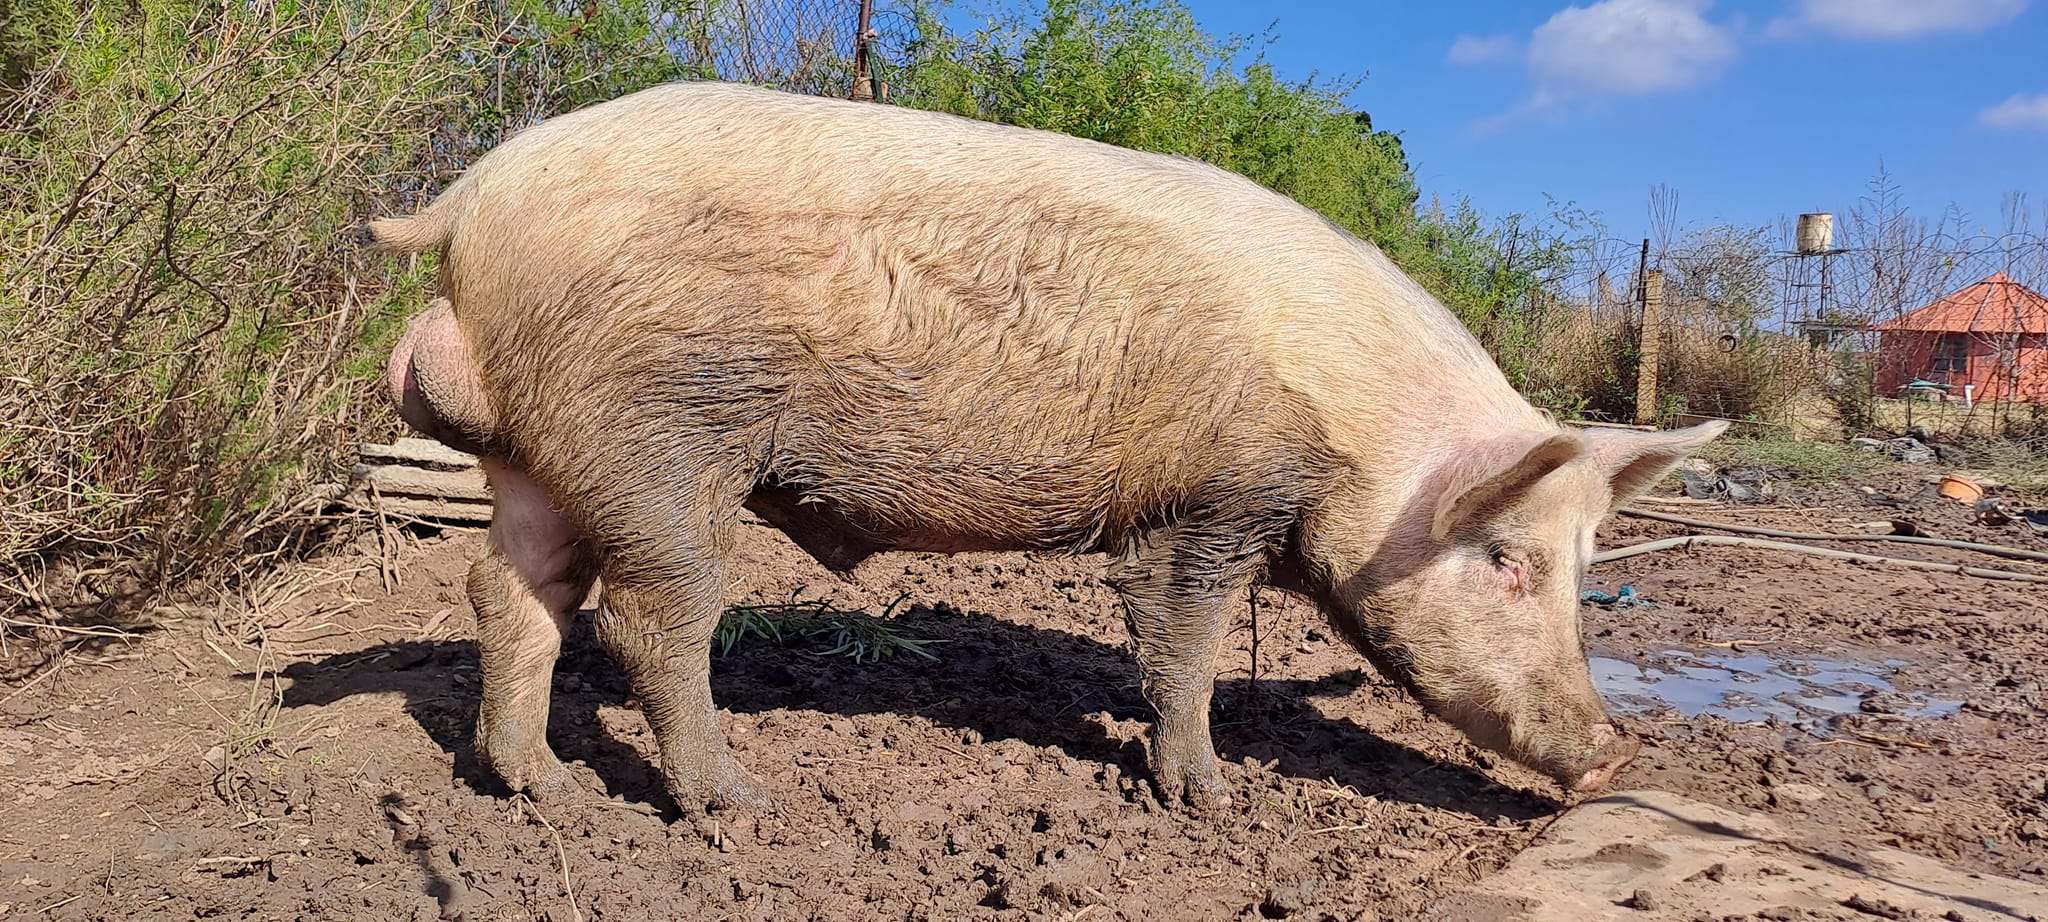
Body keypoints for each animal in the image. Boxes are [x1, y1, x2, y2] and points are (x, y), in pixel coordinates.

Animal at [370, 80, 1727, 816]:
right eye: (1506, 559)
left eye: (1586, 562)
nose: (1616, 751)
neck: (1363, 440)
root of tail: (477, 194)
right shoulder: (1212, 497)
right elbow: (1179, 641)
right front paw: (1207, 797)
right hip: (659, 438)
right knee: (653, 615)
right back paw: (732, 801)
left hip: (540, 454)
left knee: (509, 590)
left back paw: (536, 786)